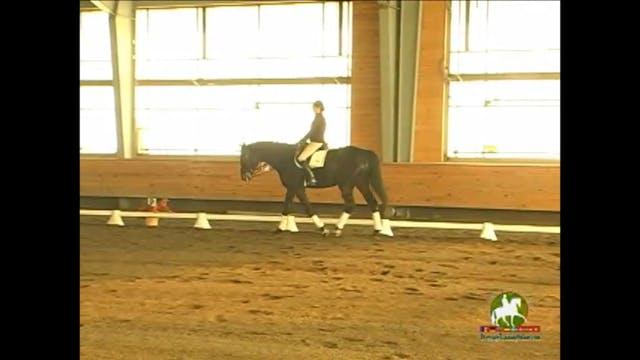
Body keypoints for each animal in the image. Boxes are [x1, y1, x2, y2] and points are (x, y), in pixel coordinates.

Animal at [240, 142, 392, 238]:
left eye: (244, 157)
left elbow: (287, 207)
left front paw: (279, 229)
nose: (244, 177)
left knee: (351, 204)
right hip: (361, 183)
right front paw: (322, 229)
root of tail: (364, 153)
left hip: (347, 184)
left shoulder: (293, 186)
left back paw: (338, 229)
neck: (285, 159)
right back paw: (376, 230)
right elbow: (307, 208)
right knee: (372, 203)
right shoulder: (298, 189)